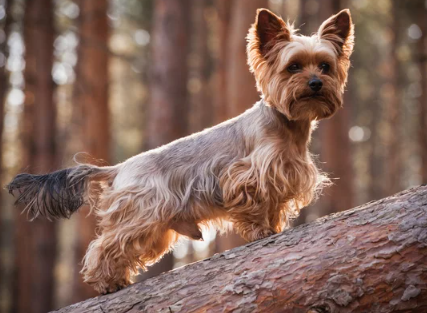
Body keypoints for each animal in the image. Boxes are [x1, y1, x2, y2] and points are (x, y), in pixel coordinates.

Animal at [8, 9, 354, 292]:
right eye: (293, 67)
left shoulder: (283, 175)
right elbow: (255, 205)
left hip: (154, 228)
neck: (289, 124)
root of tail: (118, 168)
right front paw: (262, 231)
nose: (315, 83)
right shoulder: (247, 175)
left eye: (325, 66)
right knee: (104, 246)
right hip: (142, 214)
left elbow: (275, 205)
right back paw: (106, 283)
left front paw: (275, 226)